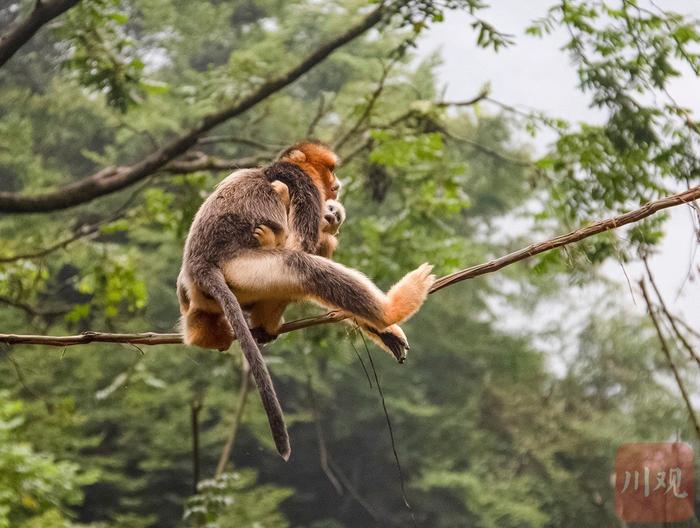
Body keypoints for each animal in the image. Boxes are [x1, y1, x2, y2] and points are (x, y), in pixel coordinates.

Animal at [178, 142, 434, 460]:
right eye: (331, 170)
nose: (337, 186)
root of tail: (200, 267)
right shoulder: (303, 183)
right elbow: (303, 246)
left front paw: (386, 333)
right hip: (243, 267)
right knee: (302, 265)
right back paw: (391, 310)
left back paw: (214, 331)